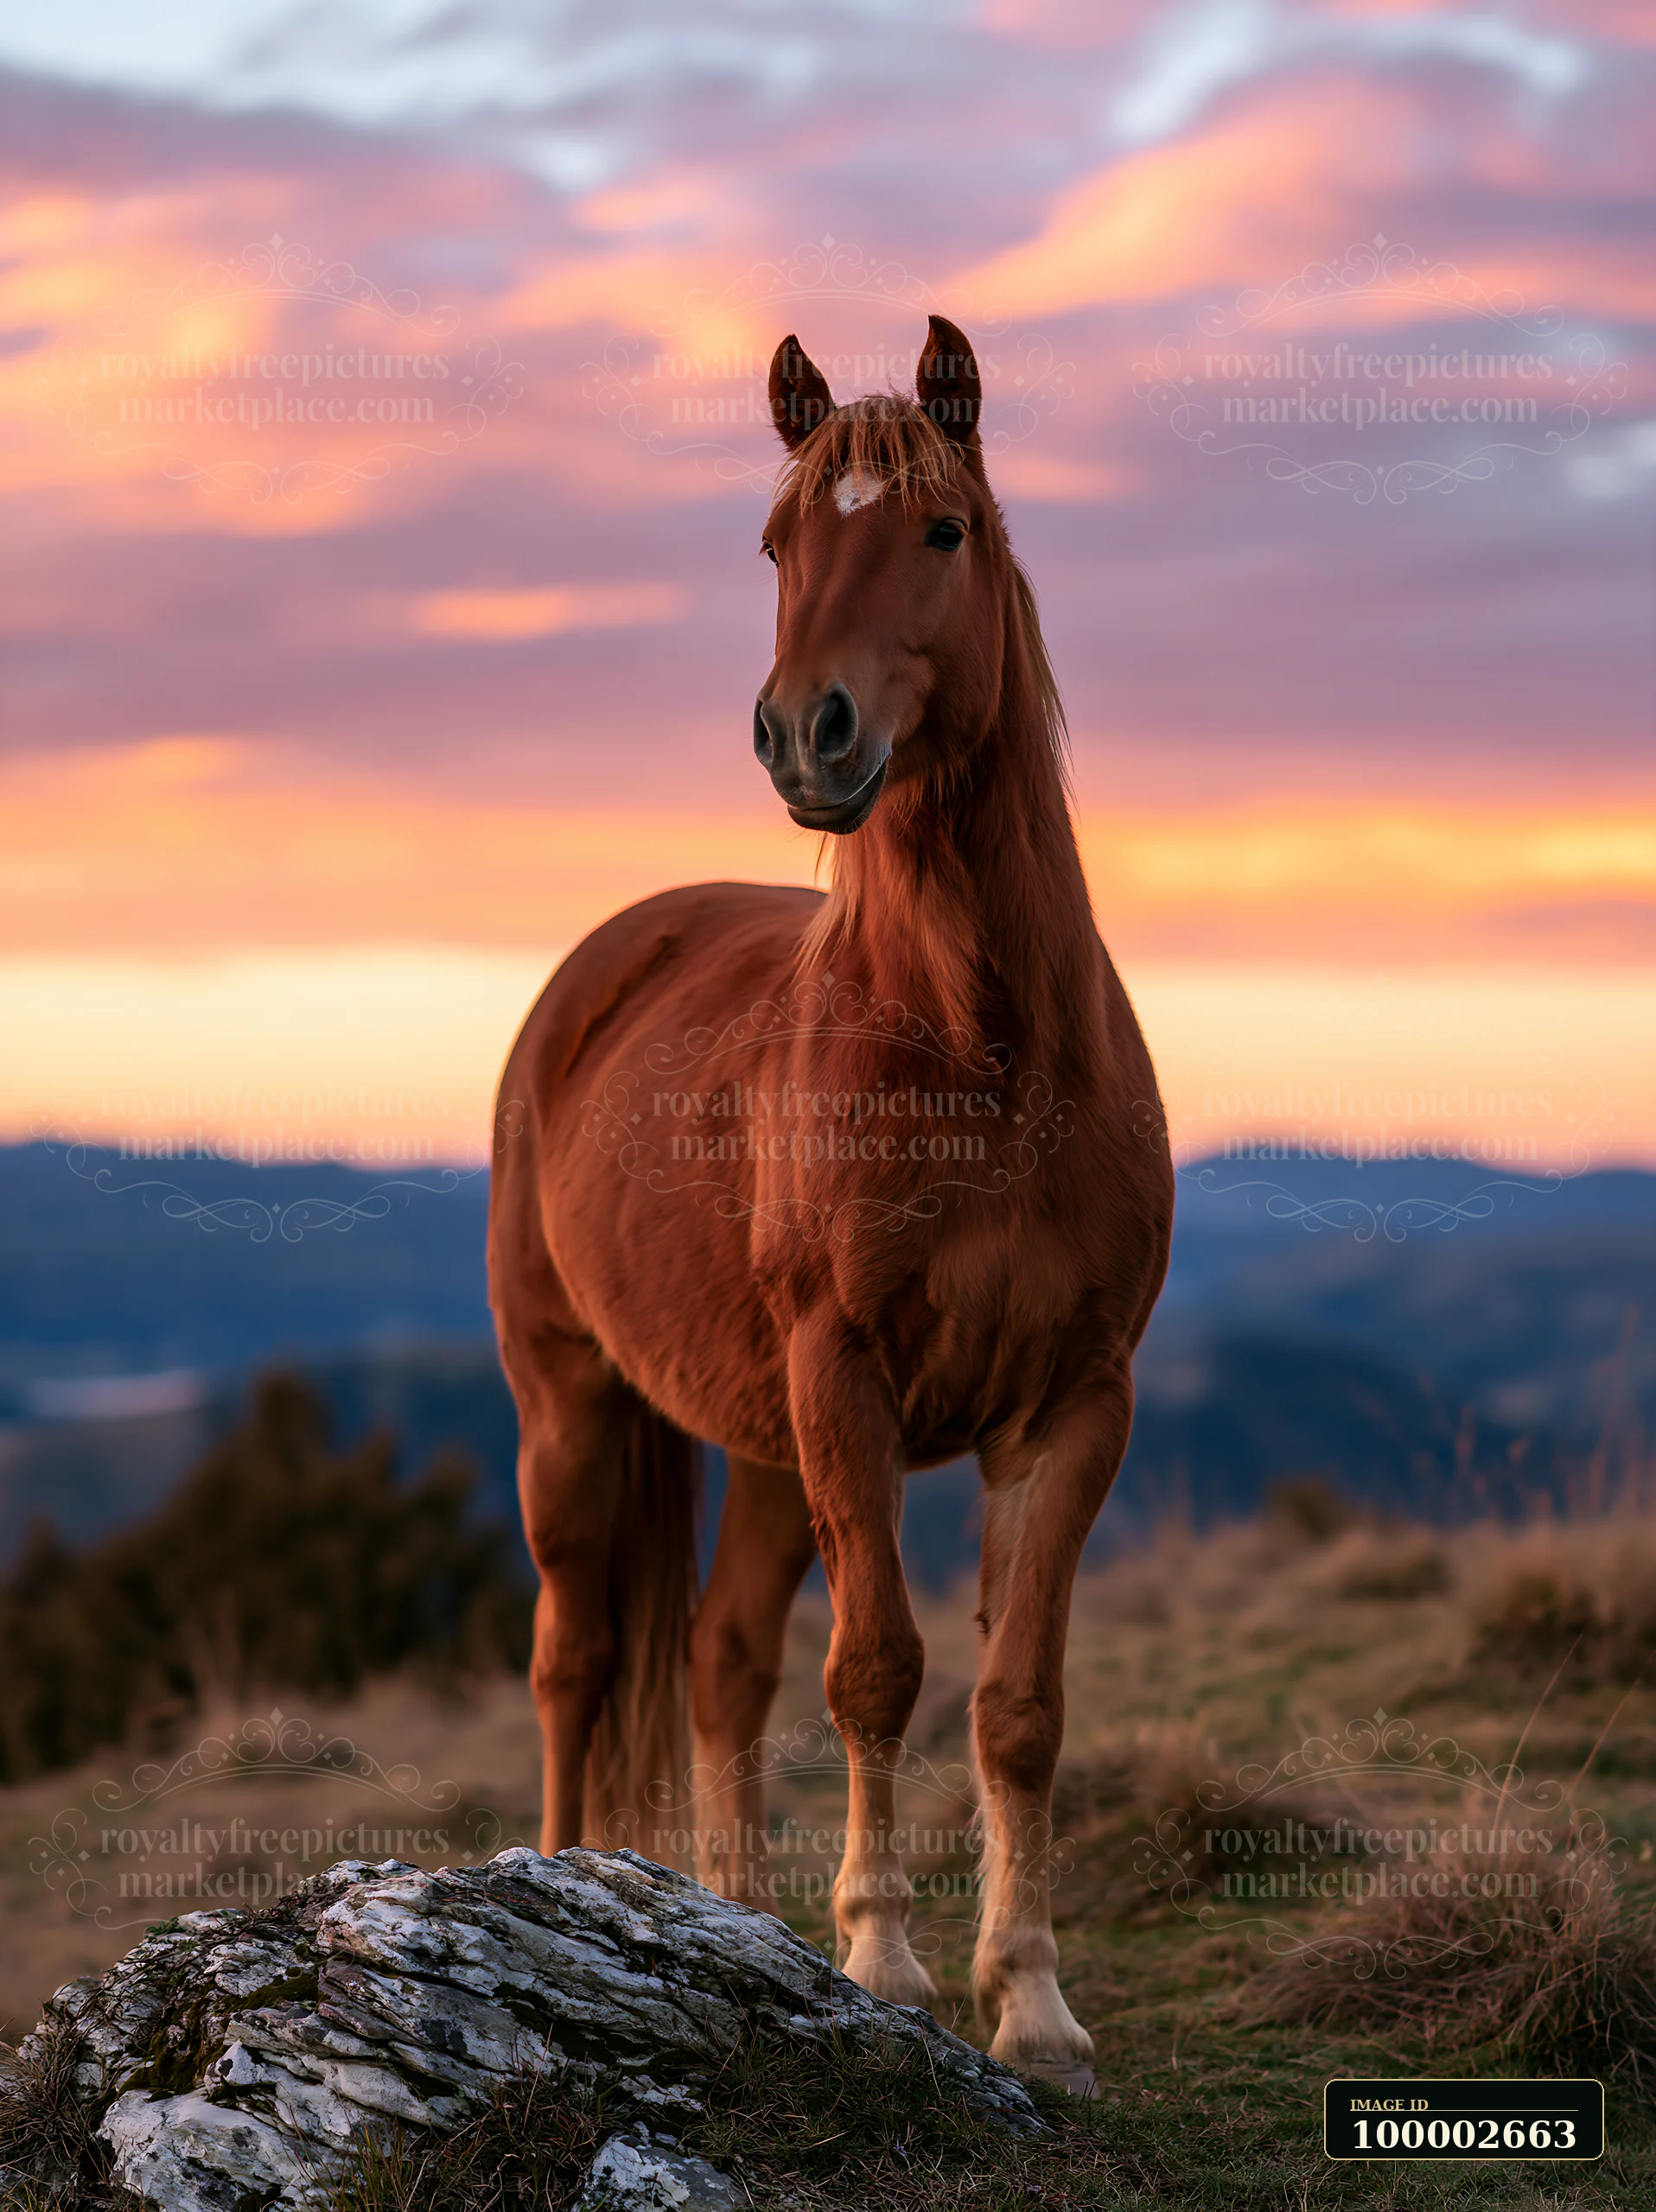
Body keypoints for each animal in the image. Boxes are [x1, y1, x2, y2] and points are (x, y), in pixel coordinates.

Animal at [488, 314, 1173, 2085]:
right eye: (780, 545)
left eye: (943, 531)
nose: (811, 734)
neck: (976, 1052)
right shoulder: (845, 1375)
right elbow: (876, 1672)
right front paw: (885, 1968)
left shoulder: (1073, 1405)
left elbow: (1017, 1704)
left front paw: (1035, 2005)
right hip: (577, 1406)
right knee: (578, 1659)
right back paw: (557, 1875)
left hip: (762, 1441)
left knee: (721, 1661)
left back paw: (726, 1925)